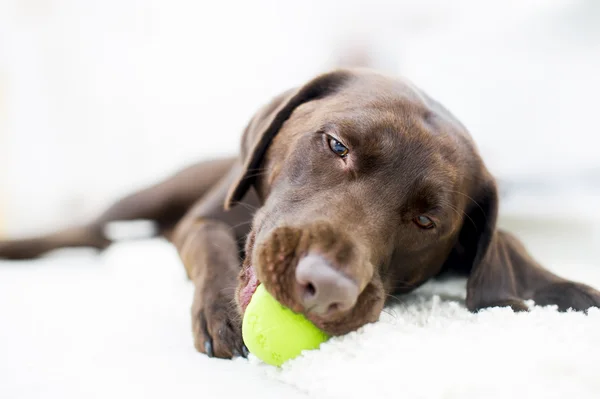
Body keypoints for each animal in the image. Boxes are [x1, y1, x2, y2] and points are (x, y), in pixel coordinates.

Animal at [1, 69, 600, 360]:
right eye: (336, 145)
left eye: (427, 221)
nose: (326, 288)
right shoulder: (202, 222)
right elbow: (213, 247)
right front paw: (220, 312)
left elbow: (513, 251)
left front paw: (567, 289)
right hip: (149, 195)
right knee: (89, 230)